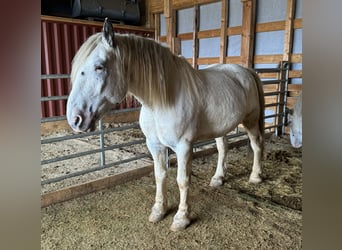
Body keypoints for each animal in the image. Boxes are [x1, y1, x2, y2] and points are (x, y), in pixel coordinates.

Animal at [66, 18, 264, 231]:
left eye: (99, 67)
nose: (75, 119)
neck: (161, 101)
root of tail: (246, 71)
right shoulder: (155, 145)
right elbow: (160, 175)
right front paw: (159, 211)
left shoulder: (184, 147)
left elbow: (183, 181)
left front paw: (181, 218)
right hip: (221, 128)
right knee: (223, 148)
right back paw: (218, 178)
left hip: (251, 121)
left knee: (256, 145)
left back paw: (255, 176)